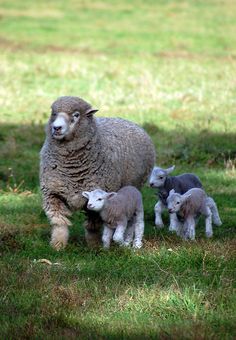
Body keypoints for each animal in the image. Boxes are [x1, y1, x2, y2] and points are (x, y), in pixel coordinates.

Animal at [39, 95, 156, 250]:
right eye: (53, 113)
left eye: (76, 115)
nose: (56, 128)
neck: (71, 168)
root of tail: (128, 120)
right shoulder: (52, 194)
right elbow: (59, 223)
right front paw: (57, 245)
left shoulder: (98, 198)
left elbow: (92, 226)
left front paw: (94, 246)